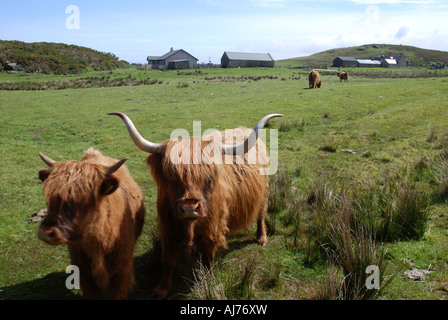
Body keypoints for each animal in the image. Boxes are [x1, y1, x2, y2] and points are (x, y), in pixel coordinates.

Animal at [108, 112, 282, 298]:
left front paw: (209, 282)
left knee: (261, 214)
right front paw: (162, 289)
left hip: (264, 192)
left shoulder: (212, 225)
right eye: (172, 175)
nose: (189, 208)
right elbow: (168, 259)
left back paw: (261, 238)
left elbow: (207, 257)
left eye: (208, 176)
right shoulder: (168, 226)